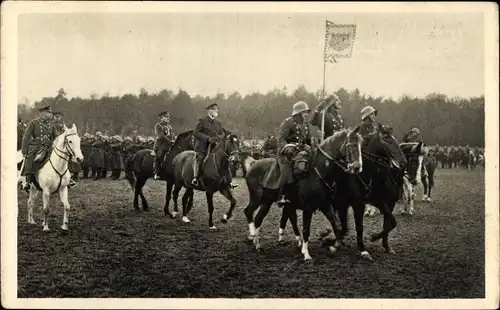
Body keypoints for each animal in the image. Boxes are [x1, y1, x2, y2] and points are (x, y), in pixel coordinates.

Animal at [243, 128, 364, 262]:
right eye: (350, 145)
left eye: (360, 145)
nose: (357, 167)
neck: (318, 172)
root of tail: (253, 164)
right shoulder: (308, 209)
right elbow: (306, 230)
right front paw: (306, 254)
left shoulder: (326, 206)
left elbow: (337, 226)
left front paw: (334, 247)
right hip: (257, 198)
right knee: (249, 212)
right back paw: (254, 239)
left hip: (267, 202)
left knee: (259, 218)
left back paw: (258, 244)